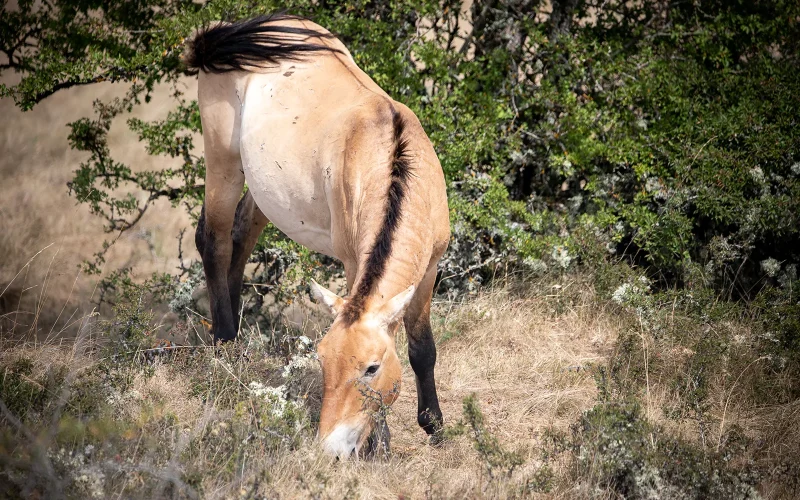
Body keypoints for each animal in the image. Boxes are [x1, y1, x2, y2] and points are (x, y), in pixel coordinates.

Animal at [183, 14, 450, 457]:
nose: (331, 449)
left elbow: (422, 350)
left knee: (238, 241)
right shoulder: (353, 263)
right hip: (223, 162)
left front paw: (435, 427)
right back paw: (223, 343)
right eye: (323, 360)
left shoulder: (428, 272)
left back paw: (235, 339)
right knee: (213, 240)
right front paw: (381, 443)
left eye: (371, 368)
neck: (395, 163)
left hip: (262, 190)